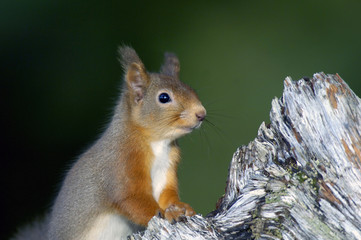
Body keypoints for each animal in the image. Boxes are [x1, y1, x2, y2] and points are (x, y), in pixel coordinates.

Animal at [12, 46, 205, 239]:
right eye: (164, 97)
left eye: (192, 89)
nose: (201, 114)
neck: (157, 142)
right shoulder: (120, 164)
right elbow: (131, 200)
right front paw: (167, 214)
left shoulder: (167, 167)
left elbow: (167, 194)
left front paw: (181, 207)